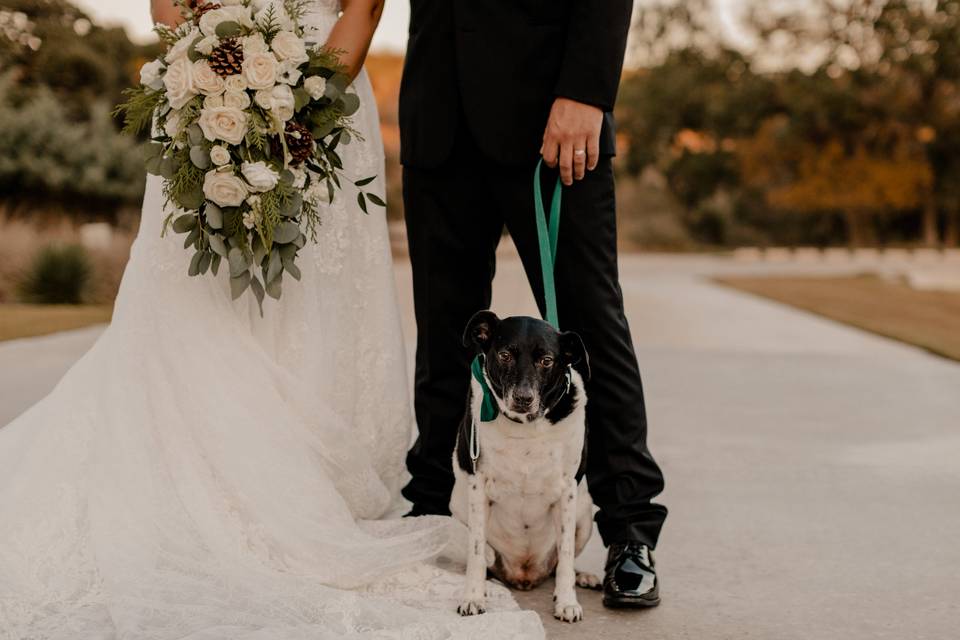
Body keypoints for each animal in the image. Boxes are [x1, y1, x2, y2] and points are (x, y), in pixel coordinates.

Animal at [452, 312, 600, 624]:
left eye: (547, 360)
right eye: (505, 355)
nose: (523, 398)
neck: (525, 427)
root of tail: (525, 573)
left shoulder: (568, 491)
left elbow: (566, 554)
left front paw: (567, 601)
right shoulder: (477, 485)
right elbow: (476, 551)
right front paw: (473, 597)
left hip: (585, 514)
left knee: (561, 563)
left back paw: (584, 577)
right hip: (458, 513)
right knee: (485, 556)